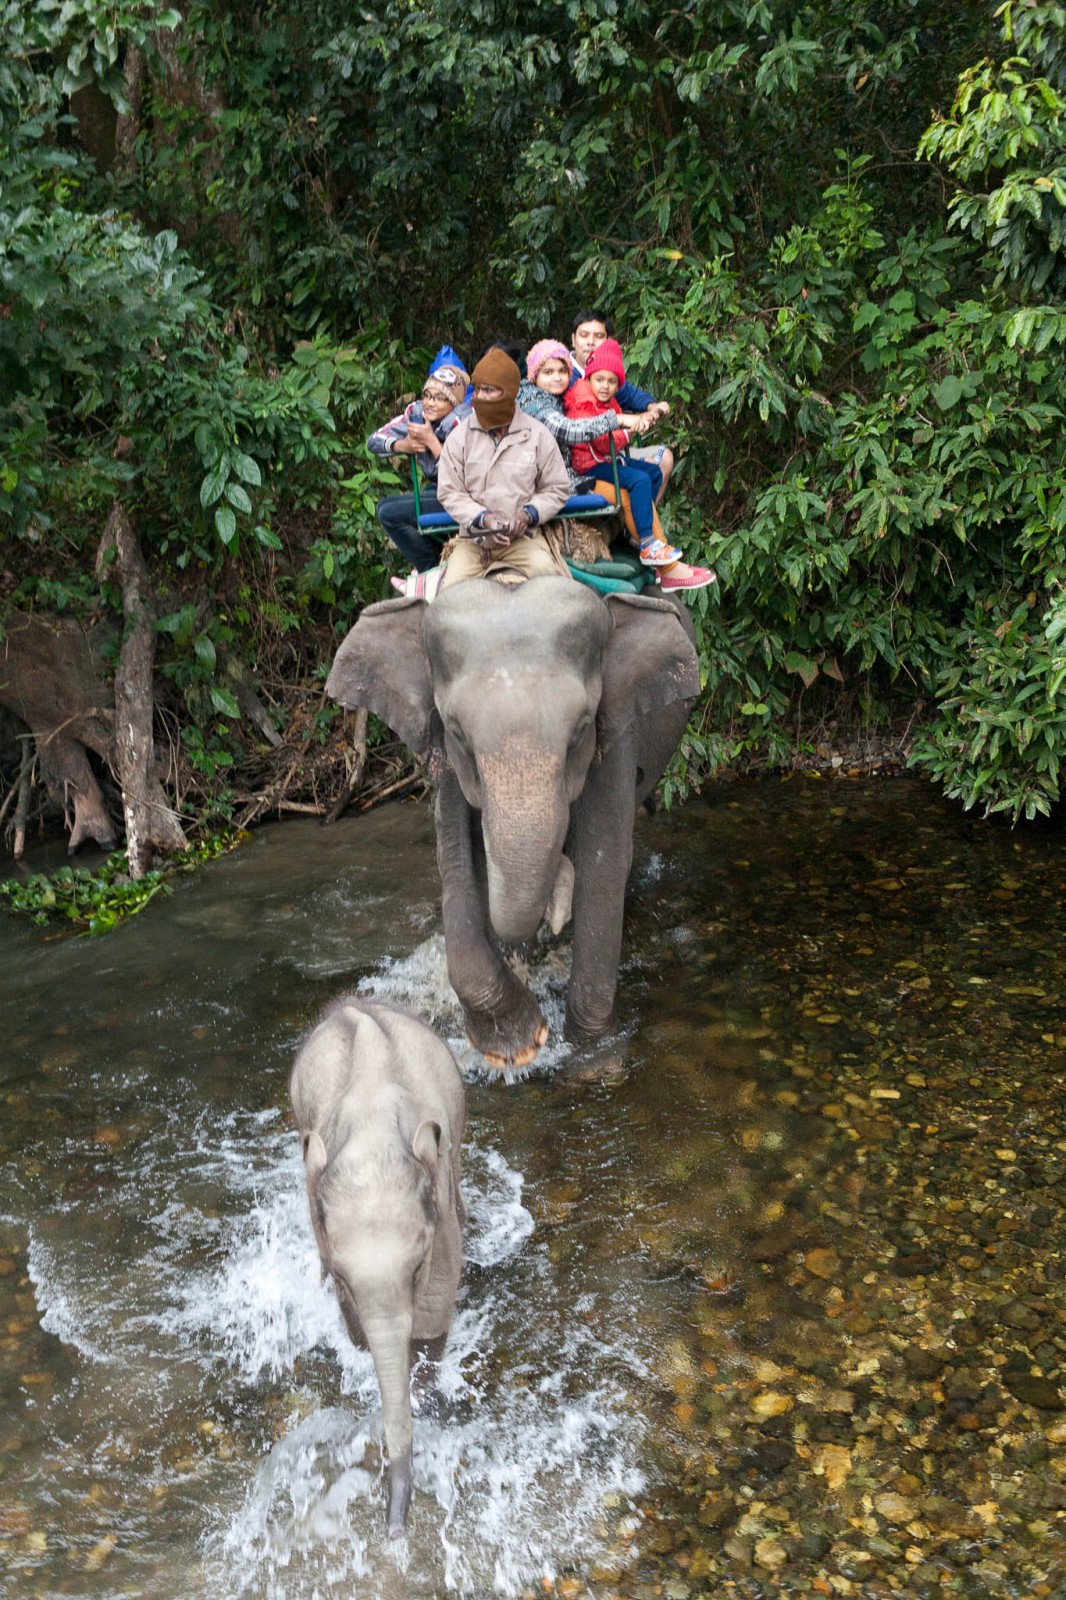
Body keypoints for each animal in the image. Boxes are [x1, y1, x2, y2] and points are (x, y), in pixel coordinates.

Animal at [286, 998, 464, 1536]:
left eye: (417, 1266)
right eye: (343, 1277)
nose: (395, 1530)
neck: (372, 1129)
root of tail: (354, 1004)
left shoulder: (439, 1215)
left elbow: (436, 1308)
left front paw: (422, 1392)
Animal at [328, 579, 701, 1075]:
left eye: (581, 729)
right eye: (457, 732)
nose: (554, 904)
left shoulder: (617, 734)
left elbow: (603, 864)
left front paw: (588, 1053)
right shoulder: (446, 762)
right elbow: (456, 862)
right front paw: (516, 1046)